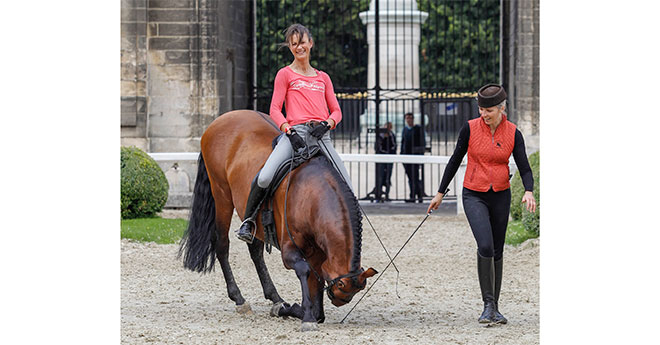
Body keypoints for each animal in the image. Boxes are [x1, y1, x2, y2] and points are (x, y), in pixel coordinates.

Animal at [178, 109, 376, 330]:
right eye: (341, 287)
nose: (337, 300)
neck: (313, 196)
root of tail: (222, 118)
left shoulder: (318, 255)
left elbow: (315, 285)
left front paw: (300, 310)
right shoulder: (290, 249)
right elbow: (304, 270)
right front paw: (303, 314)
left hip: (251, 216)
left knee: (255, 251)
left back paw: (274, 296)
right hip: (222, 196)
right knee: (222, 244)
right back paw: (239, 299)